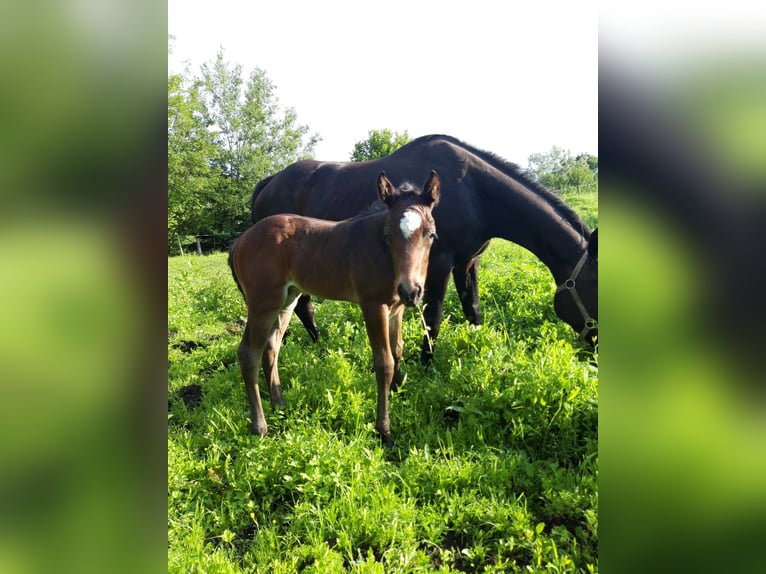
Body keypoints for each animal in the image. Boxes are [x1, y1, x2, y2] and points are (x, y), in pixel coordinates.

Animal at [229, 171, 441, 446]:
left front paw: (398, 392)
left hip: (287, 300)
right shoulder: (373, 306)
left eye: (431, 235)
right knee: (248, 354)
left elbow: (397, 350)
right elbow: (384, 363)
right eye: (387, 236)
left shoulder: (396, 309)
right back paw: (260, 427)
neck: (383, 255)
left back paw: (280, 406)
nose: (411, 290)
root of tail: (240, 241)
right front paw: (384, 431)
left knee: (271, 347)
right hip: (262, 304)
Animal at [251, 134, 598, 362]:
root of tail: (269, 182)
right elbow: (433, 318)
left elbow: (473, 310)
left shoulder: (468, 263)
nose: (597, 349)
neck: (474, 193)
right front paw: (426, 365)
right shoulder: (439, 263)